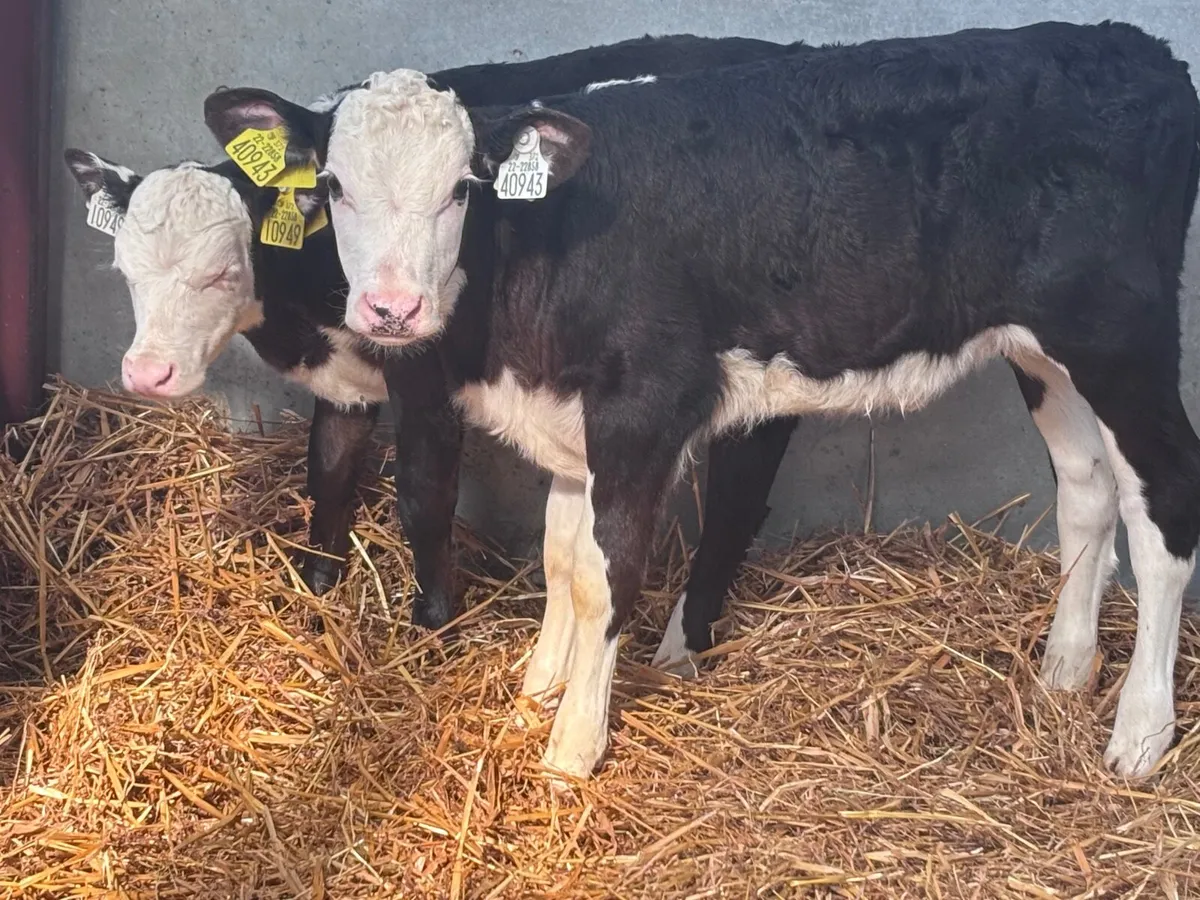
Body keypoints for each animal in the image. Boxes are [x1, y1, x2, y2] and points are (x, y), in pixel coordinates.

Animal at [63, 34, 804, 652]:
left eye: (220, 271)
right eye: (124, 270)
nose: (147, 373)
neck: (313, 310)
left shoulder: (425, 373)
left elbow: (424, 493)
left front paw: (433, 626)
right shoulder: (347, 380)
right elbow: (328, 468)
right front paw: (317, 583)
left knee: (736, 499)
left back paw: (680, 650)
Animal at [204, 21, 1200, 782]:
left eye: (462, 188)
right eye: (334, 187)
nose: (390, 309)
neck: (550, 236)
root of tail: (1138, 48)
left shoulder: (644, 409)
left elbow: (609, 574)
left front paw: (571, 746)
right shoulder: (572, 420)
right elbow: (562, 562)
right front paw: (537, 693)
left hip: (1124, 338)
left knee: (1165, 503)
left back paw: (1139, 735)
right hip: (1042, 350)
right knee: (1087, 485)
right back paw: (1065, 668)